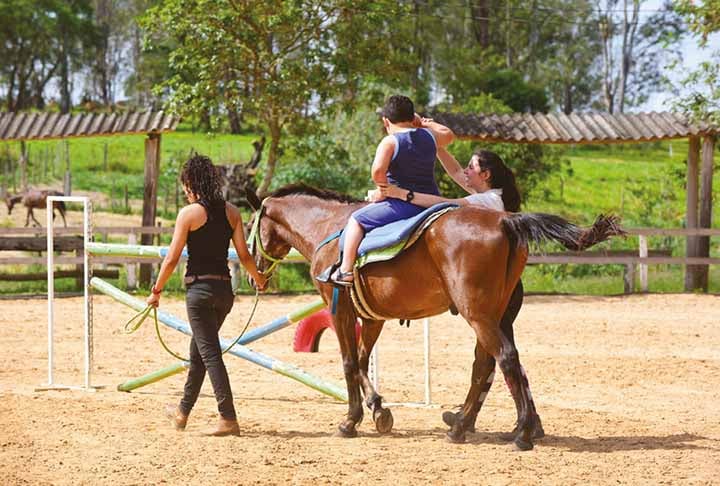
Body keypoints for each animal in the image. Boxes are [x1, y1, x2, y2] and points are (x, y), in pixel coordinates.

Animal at [247, 184, 622, 450]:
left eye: (250, 225)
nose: (253, 277)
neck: (329, 227)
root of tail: (506, 219)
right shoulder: (372, 318)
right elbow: (365, 359)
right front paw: (379, 410)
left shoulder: (339, 310)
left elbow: (350, 363)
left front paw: (351, 421)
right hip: (494, 315)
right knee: (486, 365)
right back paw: (463, 426)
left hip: (479, 315)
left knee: (505, 359)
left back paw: (520, 434)